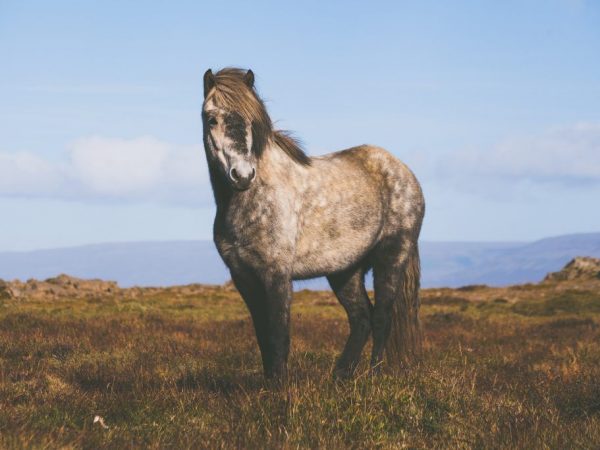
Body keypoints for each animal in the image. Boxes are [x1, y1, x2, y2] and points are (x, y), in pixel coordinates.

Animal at [203, 68, 426, 382]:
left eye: (251, 121)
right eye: (212, 119)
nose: (242, 175)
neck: (251, 199)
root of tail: (403, 171)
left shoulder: (276, 274)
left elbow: (278, 335)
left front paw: (280, 388)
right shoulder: (243, 276)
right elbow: (262, 336)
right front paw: (269, 384)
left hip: (391, 257)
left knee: (382, 317)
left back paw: (374, 376)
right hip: (345, 271)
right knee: (361, 318)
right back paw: (341, 376)